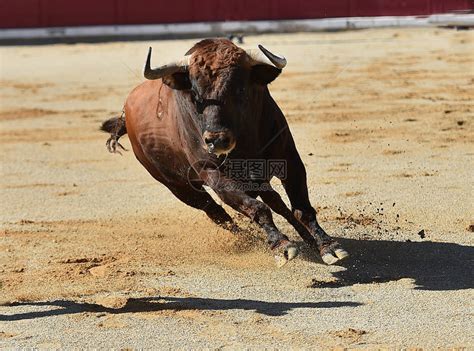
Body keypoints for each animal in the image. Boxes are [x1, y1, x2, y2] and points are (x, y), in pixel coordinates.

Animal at [102, 38, 348, 266]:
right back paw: (251, 240)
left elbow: (301, 207)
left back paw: (305, 239)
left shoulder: (289, 157)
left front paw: (327, 246)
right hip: (179, 187)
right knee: (217, 213)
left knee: (275, 201)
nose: (217, 140)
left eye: (240, 89)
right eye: (195, 95)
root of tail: (126, 111)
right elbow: (256, 208)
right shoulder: (213, 174)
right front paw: (281, 245)